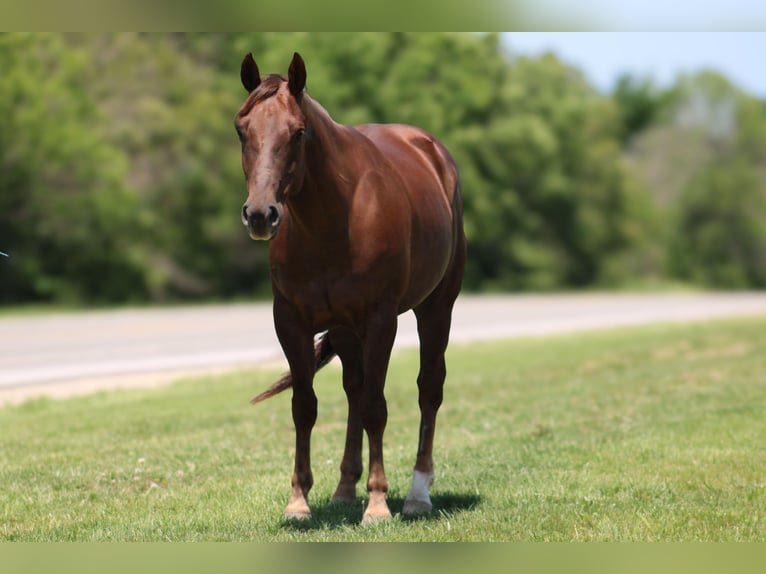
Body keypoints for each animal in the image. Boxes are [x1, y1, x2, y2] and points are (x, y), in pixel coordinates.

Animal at [236, 52, 466, 525]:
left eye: (298, 131)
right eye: (240, 128)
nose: (261, 214)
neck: (333, 219)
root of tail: (433, 151)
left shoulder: (380, 320)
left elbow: (377, 407)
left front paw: (378, 504)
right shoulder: (291, 321)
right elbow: (305, 406)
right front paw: (298, 501)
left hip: (436, 308)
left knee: (428, 388)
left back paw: (417, 493)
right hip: (344, 330)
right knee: (354, 392)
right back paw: (345, 488)